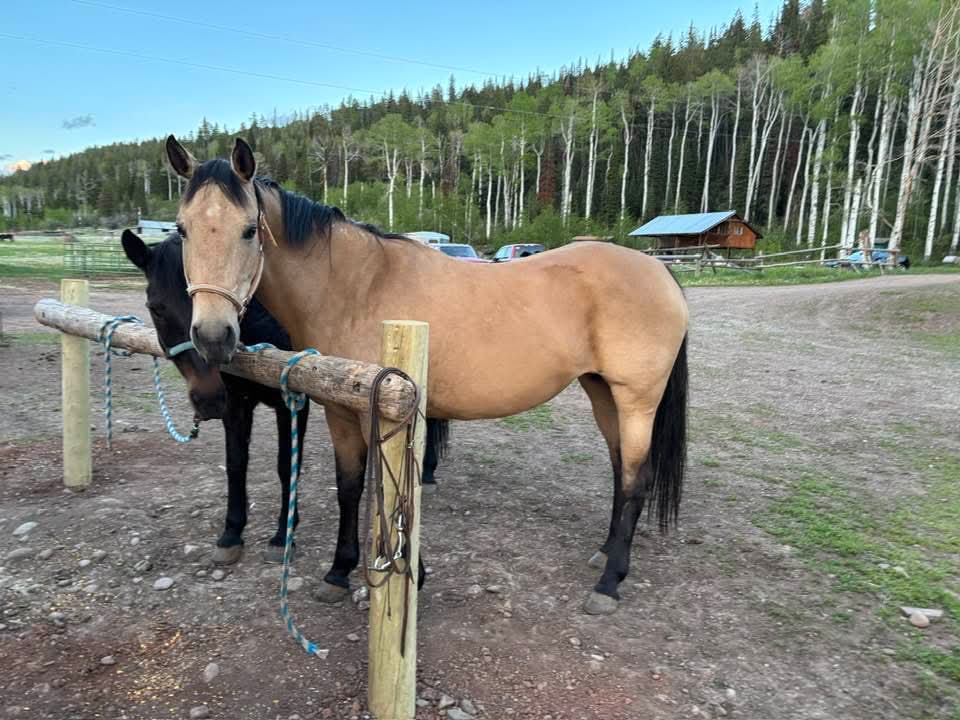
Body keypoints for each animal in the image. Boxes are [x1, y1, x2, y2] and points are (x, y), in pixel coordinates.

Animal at [121, 228, 450, 568]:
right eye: (156, 308)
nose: (207, 399)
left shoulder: (292, 399)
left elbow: (286, 465)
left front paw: (282, 536)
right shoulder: (235, 401)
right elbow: (236, 462)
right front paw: (231, 534)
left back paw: (427, 473)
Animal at [164, 135, 688, 615]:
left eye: (249, 229)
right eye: (184, 229)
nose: (213, 335)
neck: (357, 288)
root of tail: (659, 272)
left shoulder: (382, 412)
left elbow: (389, 490)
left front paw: (410, 571)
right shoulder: (339, 412)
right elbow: (350, 486)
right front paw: (338, 572)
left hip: (636, 400)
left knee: (635, 479)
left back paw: (609, 583)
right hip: (602, 393)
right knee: (621, 470)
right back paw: (605, 554)